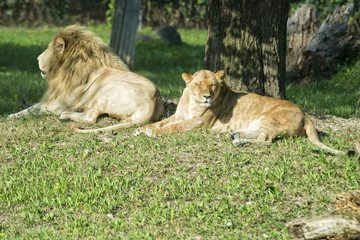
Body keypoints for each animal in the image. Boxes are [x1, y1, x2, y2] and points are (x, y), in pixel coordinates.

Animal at [8, 24, 163, 129]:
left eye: (48, 49)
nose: (37, 58)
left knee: (90, 117)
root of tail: (150, 107)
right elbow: (34, 104)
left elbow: (31, 110)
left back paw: (68, 114)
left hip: (107, 89)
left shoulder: (56, 105)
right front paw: (22, 104)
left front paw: (11, 116)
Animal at [134, 69, 348, 156]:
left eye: (212, 85)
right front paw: (142, 129)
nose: (206, 97)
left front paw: (152, 133)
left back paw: (239, 142)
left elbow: (171, 127)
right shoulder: (178, 115)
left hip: (270, 118)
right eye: (198, 84)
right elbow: (161, 122)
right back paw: (235, 136)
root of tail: (305, 115)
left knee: (266, 140)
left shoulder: (198, 123)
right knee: (260, 135)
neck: (191, 101)